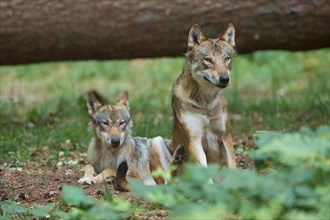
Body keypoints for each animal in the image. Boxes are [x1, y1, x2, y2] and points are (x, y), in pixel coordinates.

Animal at [168, 23, 237, 168]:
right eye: (208, 60)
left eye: (226, 59)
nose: (224, 79)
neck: (206, 102)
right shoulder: (193, 139)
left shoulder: (225, 136)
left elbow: (233, 167)